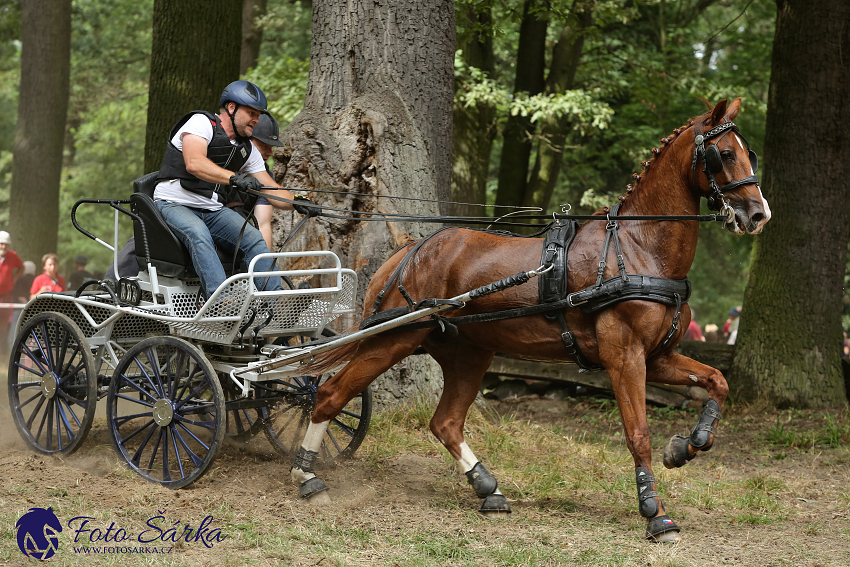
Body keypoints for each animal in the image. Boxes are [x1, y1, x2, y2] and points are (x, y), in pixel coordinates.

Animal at [284, 100, 768, 544]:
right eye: (724, 154)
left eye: (751, 153)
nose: (759, 214)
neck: (637, 247)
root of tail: (408, 249)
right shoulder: (625, 357)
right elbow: (638, 432)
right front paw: (655, 512)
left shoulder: (659, 356)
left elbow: (718, 382)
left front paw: (686, 447)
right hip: (392, 340)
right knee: (328, 395)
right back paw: (307, 476)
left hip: (469, 353)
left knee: (445, 422)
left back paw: (487, 488)